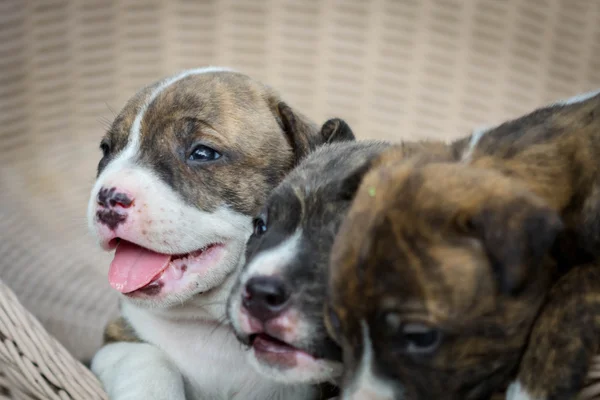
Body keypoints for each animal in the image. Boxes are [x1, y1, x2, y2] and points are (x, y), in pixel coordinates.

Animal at [88, 69, 342, 400]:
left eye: (202, 153)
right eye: (106, 150)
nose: (106, 197)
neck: (211, 324)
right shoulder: (115, 341)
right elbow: (148, 360)